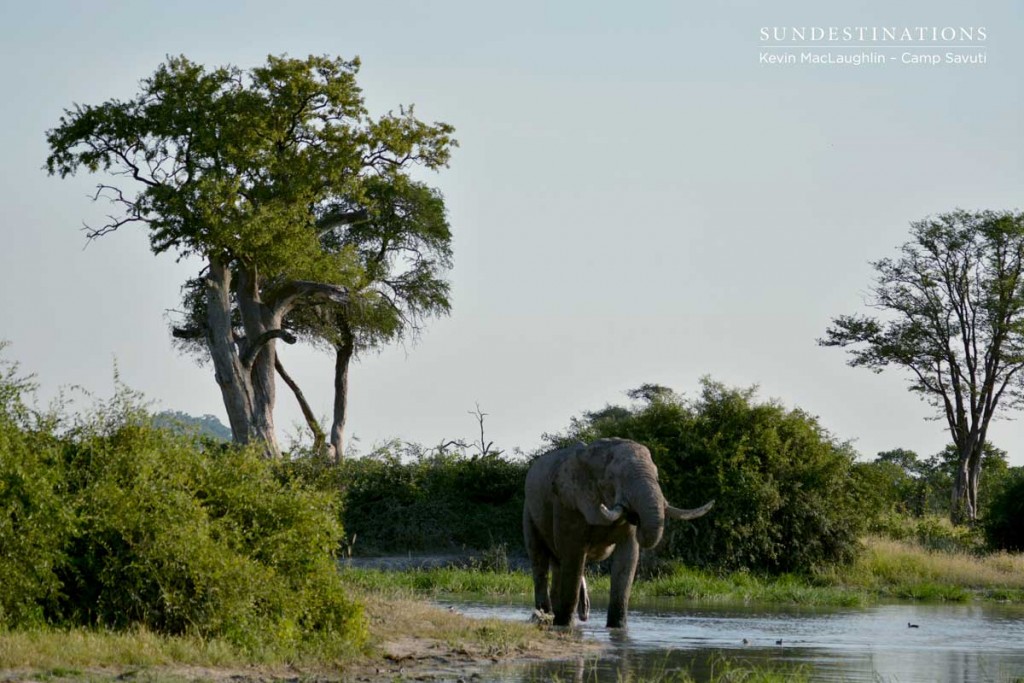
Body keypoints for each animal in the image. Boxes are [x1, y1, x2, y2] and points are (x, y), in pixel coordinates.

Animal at [520, 440, 712, 626]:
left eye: (657, 477)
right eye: (613, 478)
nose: (637, 517)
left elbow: (627, 559)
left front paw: (617, 628)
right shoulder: (568, 504)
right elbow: (574, 557)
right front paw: (563, 626)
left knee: (558, 565)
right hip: (529, 512)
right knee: (540, 560)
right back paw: (546, 616)